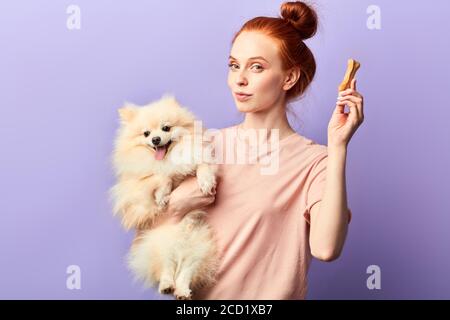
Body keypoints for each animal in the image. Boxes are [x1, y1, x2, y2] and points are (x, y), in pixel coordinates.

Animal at [110, 95, 221, 300]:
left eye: (166, 128)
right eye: (146, 133)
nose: (155, 139)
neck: (168, 160)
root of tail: (178, 250)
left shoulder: (199, 159)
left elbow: (202, 165)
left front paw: (205, 182)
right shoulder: (134, 190)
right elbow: (160, 175)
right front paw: (162, 195)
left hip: (198, 251)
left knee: (185, 273)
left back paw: (182, 291)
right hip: (160, 249)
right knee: (166, 269)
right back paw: (167, 285)